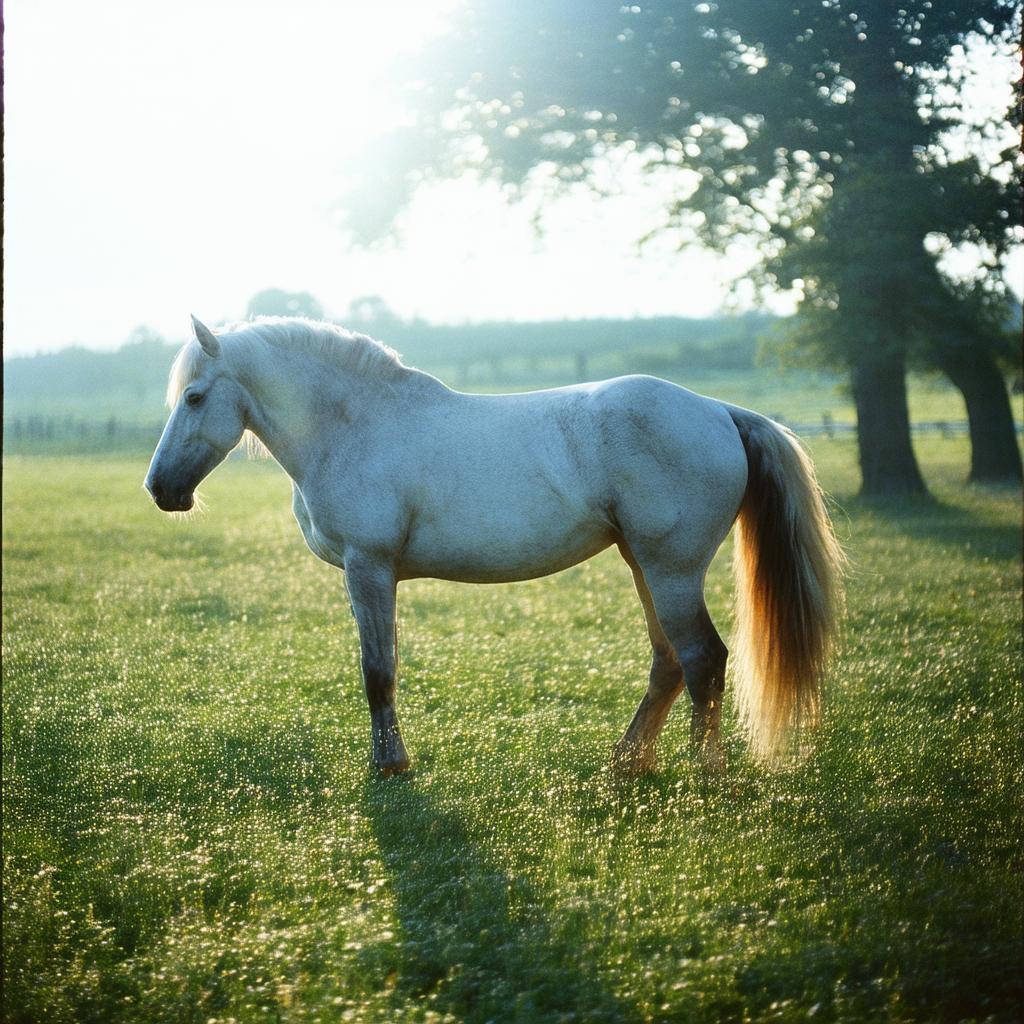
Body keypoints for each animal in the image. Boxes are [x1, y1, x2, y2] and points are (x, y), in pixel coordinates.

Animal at [145, 315, 843, 775]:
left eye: (195, 396)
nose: (161, 489)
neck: (354, 427)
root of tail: (719, 410)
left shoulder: (368, 568)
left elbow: (378, 671)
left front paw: (390, 766)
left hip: (671, 570)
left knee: (702, 661)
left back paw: (704, 780)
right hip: (642, 564)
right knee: (669, 663)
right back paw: (625, 765)